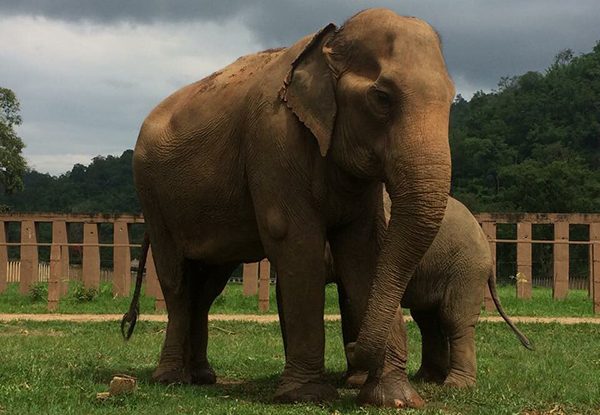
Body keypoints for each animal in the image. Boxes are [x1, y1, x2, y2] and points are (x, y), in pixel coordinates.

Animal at [127, 8, 454, 408]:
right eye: (382, 97)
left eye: (452, 100)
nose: (351, 346)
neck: (328, 44)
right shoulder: (273, 141)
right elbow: (296, 244)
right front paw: (307, 395)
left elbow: (366, 250)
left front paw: (395, 399)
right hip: (152, 195)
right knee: (177, 281)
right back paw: (171, 378)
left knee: (207, 286)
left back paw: (202, 377)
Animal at [340, 198, 532, 390]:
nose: (351, 347)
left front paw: (355, 381)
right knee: (427, 320)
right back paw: (427, 378)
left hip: (467, 270)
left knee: (454, 318)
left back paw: (456, 385)